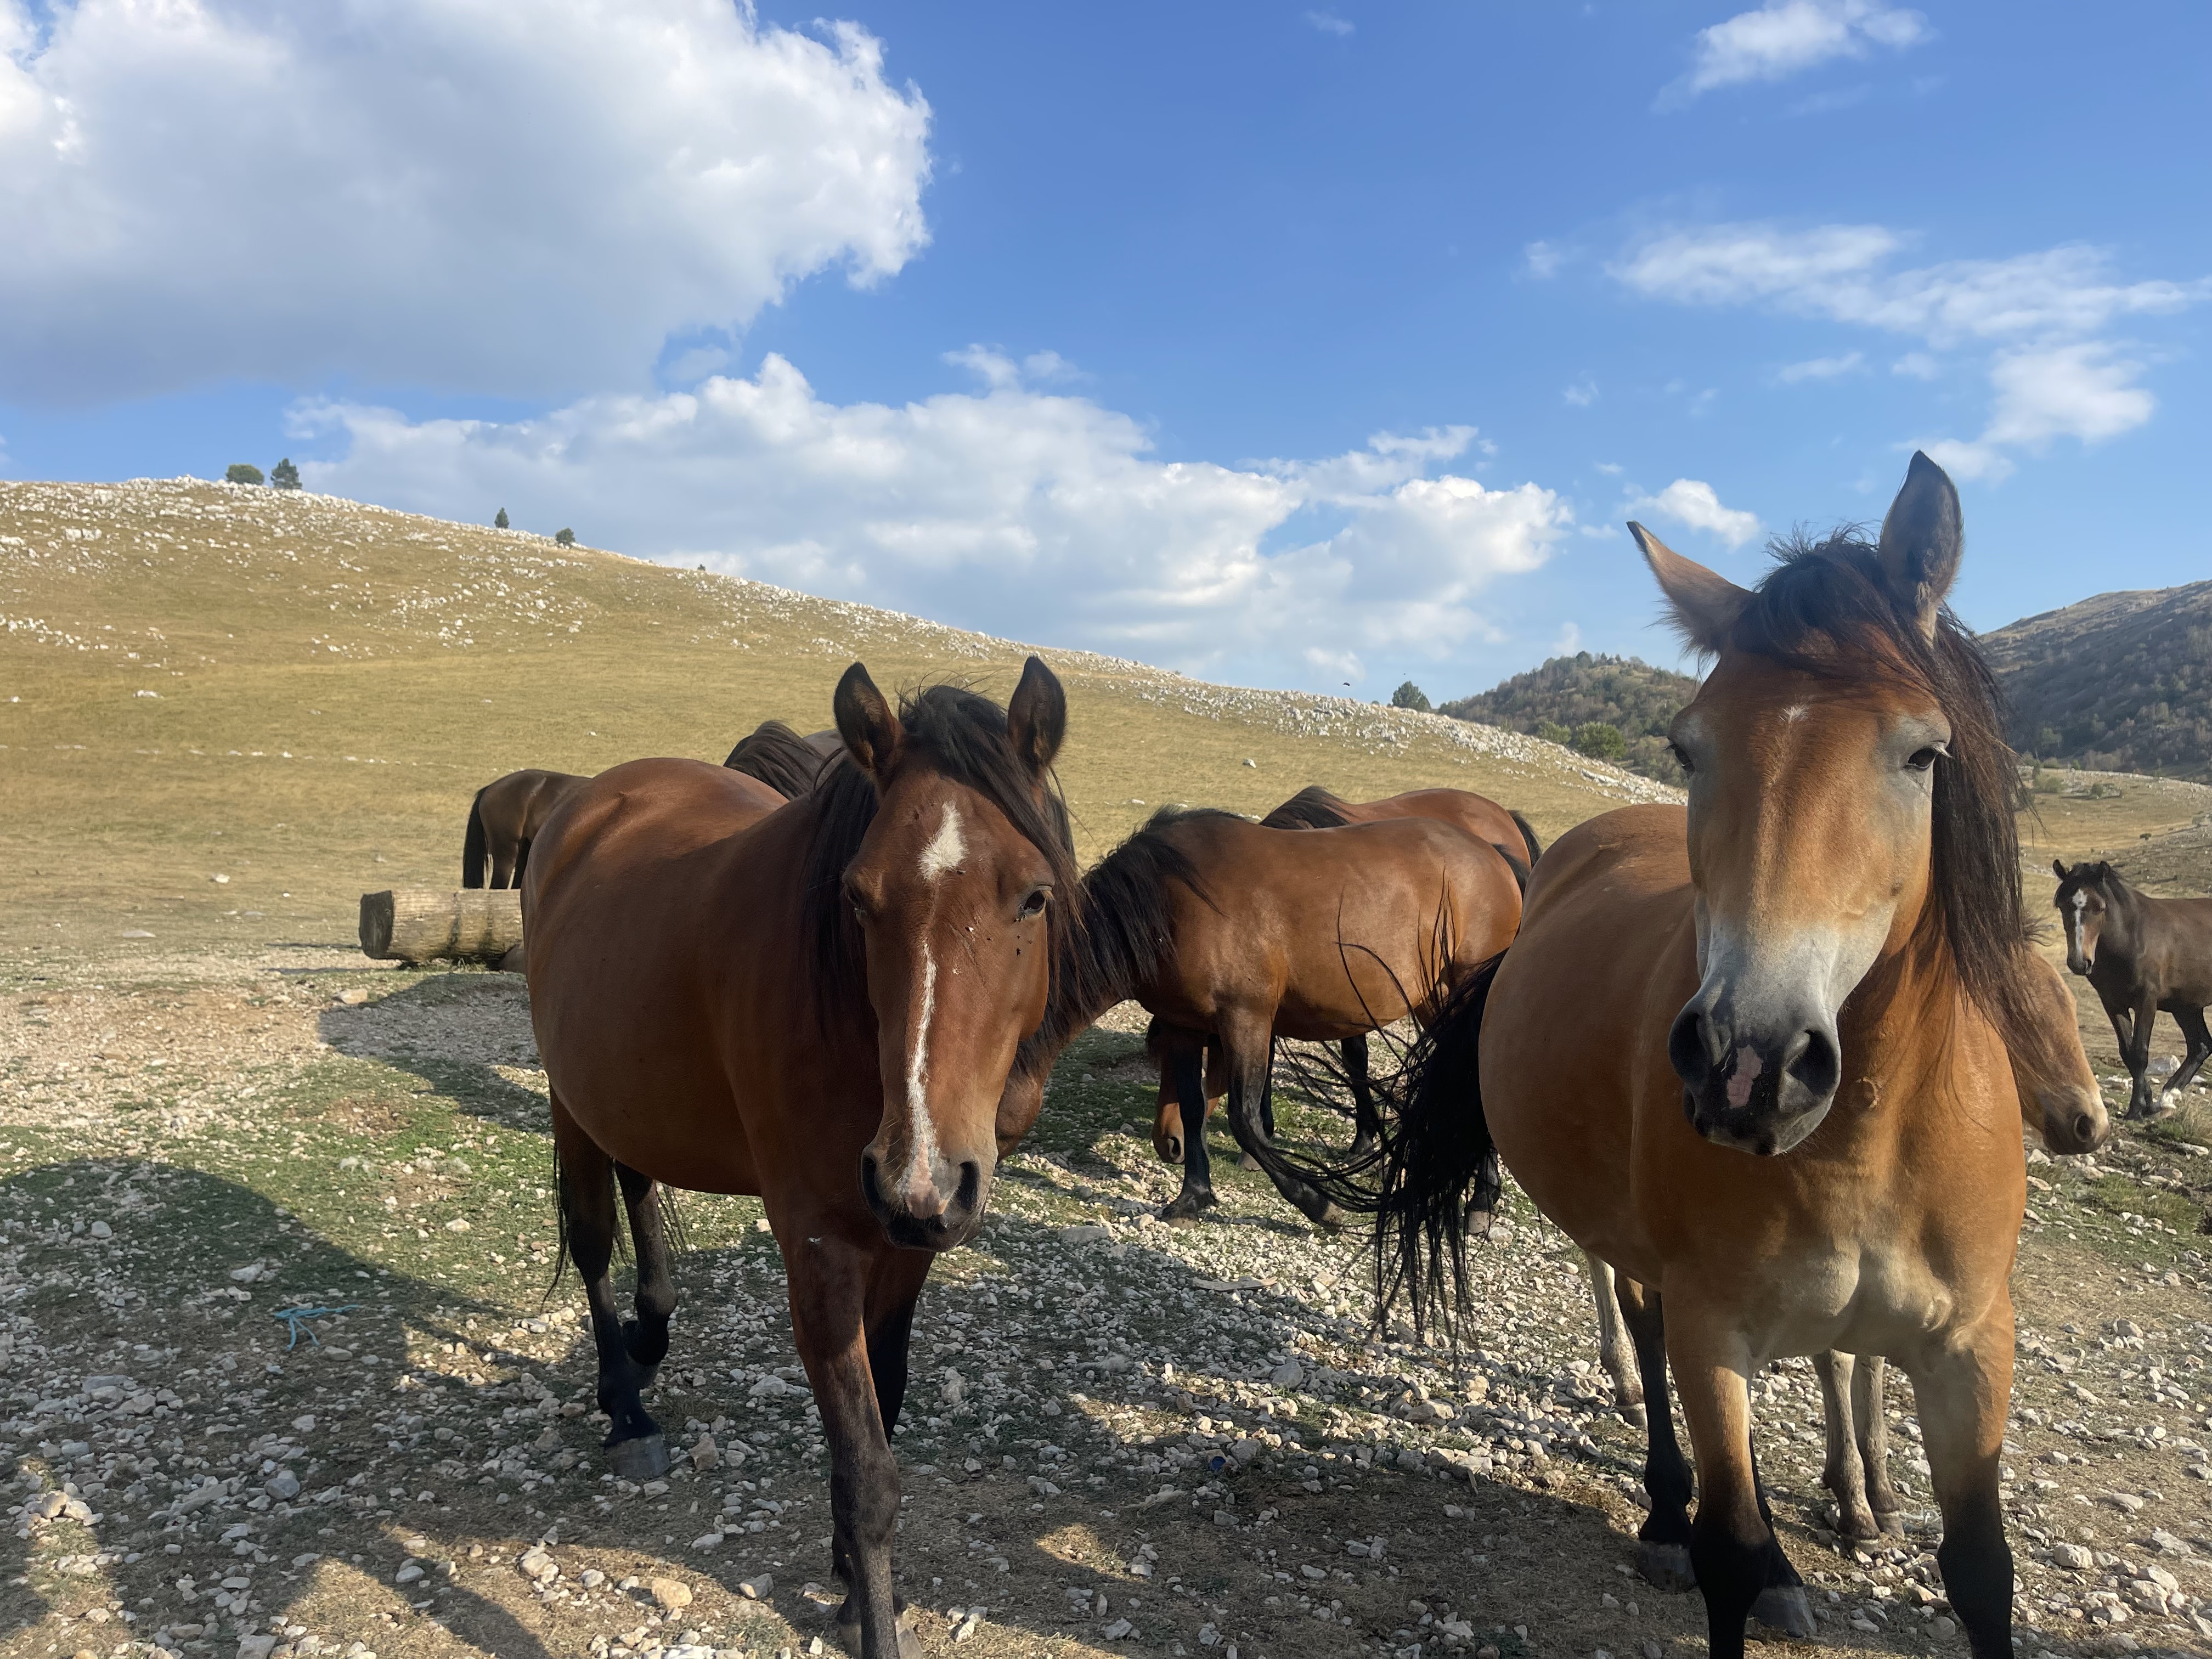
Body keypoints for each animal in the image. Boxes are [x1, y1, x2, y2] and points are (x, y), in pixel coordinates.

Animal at [522, 659, 1078, 1659]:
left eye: (1032, 896)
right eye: (858, 898)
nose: (922, 1172)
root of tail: (581, 801)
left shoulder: (906, 1243)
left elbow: (883, 1404)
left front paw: (849, 1577)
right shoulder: (820, 1249)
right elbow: (869, 1468)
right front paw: (870, 1612)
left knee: (638, 1183)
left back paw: (650, 1335)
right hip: (567, 1097)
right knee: (590, 1241)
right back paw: (626, 1404)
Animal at [1351, 455, 2040, 1659]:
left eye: (1922, 752)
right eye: (1689, 747)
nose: (1746, 1060)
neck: (1869, 1141)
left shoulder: (1970, 1353)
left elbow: (1980, 1573)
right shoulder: (1717, 1333)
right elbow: (1727, 1543)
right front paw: (1723, 1546)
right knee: (1645, 1335)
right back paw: (1669, 1515)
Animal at [2051, 858, 2212, 1118]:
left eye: (2099, 907)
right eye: (2063, 906)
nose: (2079, 962)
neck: (2131, 937)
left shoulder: (2147, 1001)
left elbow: (2139, 1053)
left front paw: (2136, 1109)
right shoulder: (2113, 1003)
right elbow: (2127, 1052)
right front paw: (2147, 1102)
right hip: (2186, 1006)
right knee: (2200, 1046)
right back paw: (2167, 1097)